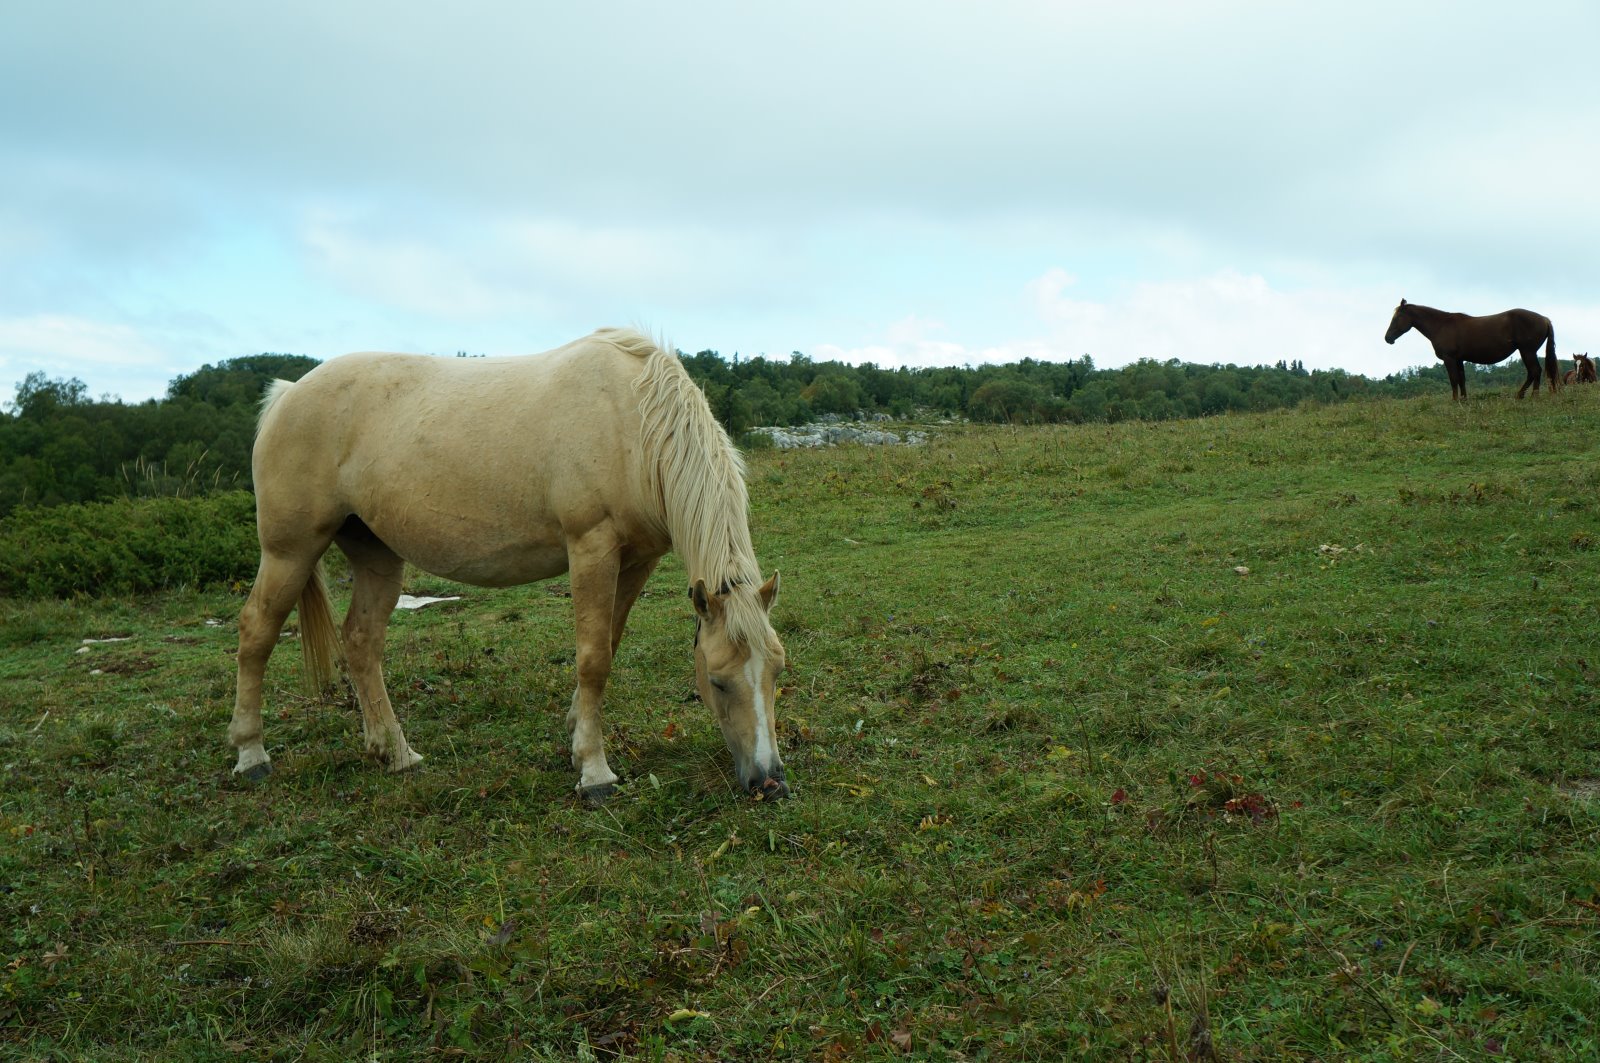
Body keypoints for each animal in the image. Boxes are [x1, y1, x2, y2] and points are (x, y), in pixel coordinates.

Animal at [228, 328, 790, 800]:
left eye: (776, 671)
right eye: (717, 681)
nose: (770, 781)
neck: (632, 421)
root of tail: (287, 395)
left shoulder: (638, 561)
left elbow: (608, 644)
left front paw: (575, 735)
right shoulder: (591, 548)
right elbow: (593, 658)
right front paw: (595, 771)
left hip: (376, 557)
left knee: (362, 643)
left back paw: (396, 753)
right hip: (290, 551)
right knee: (256, 632)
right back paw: (252, 755)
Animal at [1382, 296, 1555, 400]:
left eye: (1396, 318)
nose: (1387, 338)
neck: (1441, 325)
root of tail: (1544, 319)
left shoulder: (1449, 359)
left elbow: (1453, 380)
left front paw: (1454, 401)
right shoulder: (1459, 360)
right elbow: (1461, 379)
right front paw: (1464, 399)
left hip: (1527, 351)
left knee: (1535, 371)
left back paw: (1531, 396)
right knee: (1533, 372)